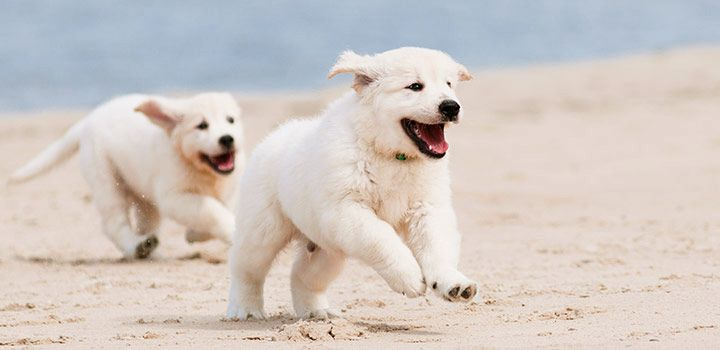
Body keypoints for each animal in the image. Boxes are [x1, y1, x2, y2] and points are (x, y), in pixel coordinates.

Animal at [9, 93, 245, 260]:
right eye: (202, 126)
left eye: (231, 120)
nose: (227, 139)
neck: (203, 170)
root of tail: (90, 118)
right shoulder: (174, 196)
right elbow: (212, 210)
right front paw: (227, 230)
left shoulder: (233, 187)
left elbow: (224, 208)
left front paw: (195, 234)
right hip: (106, 179)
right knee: (114, 223)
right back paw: (137, 246)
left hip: (144, 196)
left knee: (145, 223)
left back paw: (150, 250)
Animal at [229, 47, 478, 320]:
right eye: (415, 86)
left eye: (449, 85)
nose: (451, 107)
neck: (392, 156)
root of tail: (274, 136)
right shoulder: (346, 209)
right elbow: (381, 237)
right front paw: (409, 276)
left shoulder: (427, 207)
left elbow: (437, 244)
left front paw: (453, 283)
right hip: (263, 229)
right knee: (246, 268)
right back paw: (246, 309)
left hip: (327, 248)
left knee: (303, 276)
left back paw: (317, 312)